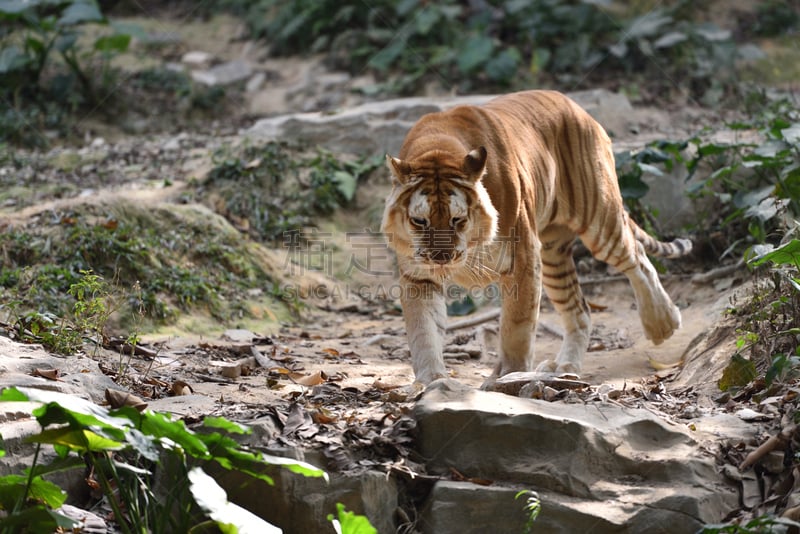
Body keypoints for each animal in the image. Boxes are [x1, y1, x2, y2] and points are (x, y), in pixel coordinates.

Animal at [380, 90, 688, 388]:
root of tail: (581, 110)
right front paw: (431, 381)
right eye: (420, 221)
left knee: (638, 259)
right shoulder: (419, 277)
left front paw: (510, 375)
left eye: (458, 220)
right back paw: (565, 367)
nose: (442, 258)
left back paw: (662, 323)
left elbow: (517, 324)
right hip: (553, 255)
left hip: (599, 220)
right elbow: (423, 330)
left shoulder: (523, 259)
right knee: (581, 311)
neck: (437, 148)